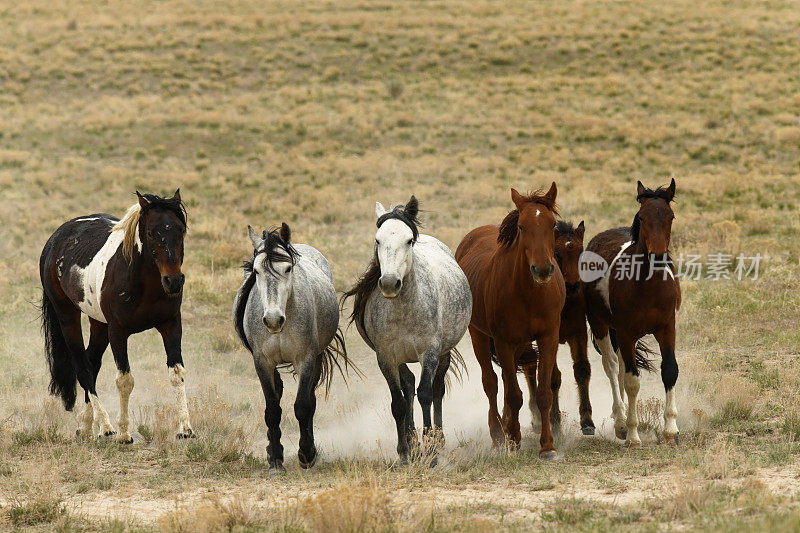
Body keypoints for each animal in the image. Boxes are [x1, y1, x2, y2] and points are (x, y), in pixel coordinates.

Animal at [40, 191, 195, 440]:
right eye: (151, 232)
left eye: (180, 229)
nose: (173, 281)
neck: (143, 284)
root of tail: (55, 239)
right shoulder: (118, 332)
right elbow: (125, 380)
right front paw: (124, 433)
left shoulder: (171, 324)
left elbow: (177, 373)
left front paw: (185, 428)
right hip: (67, 315)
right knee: (83, 367)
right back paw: (106, 426)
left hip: (99, 324)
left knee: (92, 362)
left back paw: (86, 426)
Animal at [342, 195, 468, 462]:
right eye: (377, 240)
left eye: (409, 240)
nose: (390, 283)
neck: (403, 310)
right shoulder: (386, 357)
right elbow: (398, 402)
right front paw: (404, 450)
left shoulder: (429, 353)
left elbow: (426, 394)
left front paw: (431, 451)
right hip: (400, 357)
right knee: (408, 386)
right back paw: (412, 443)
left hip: (444, 353)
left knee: (437, 389)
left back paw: (438, 441)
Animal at [456, 183, 568, 458]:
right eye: (521, 227)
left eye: (552, 225)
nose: (542, 269)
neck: (529, 294)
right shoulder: (503, 342)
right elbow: (512, 394)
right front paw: (513, 439)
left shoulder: (548, 338)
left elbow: (543, 392)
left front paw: (547, 446)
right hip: (480, 336)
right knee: (492, 383)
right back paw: (498, 434)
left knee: (507, 383)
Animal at [524, 218, 592, 434]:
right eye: (556, 253)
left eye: (580, 251)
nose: (572, 285)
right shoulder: (549, 338)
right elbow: (553, 378)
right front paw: (554, 421)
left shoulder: (578, 333)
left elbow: (582, 369)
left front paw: (587, 419)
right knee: (529, 367)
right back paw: (537, 418)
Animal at [580, 180, 680, 444]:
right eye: (642, 217)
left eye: (671, 216)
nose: (658, 256)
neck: (647, 286)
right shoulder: (625, 333)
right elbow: (632, 381)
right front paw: (633, 434)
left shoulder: (667, 328)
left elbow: (670, 371)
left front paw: (670, 430)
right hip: (601, 326)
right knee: (613, 367)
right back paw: (621, 421)